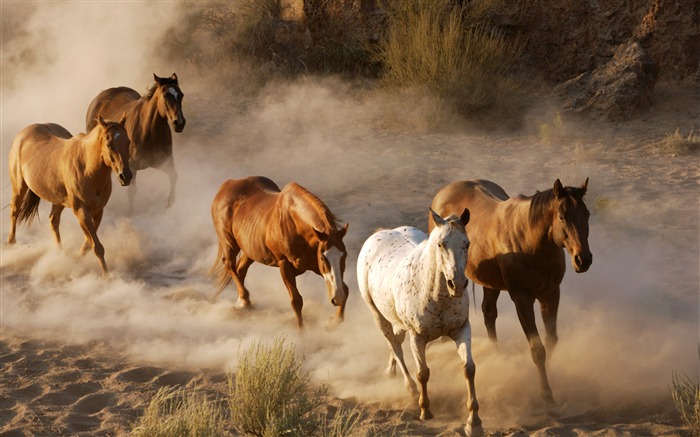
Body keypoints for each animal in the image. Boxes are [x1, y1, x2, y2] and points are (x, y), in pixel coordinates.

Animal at [7, 116, 133, 276]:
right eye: (109, 144)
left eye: (128, 142)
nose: (126, 176)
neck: (87, 168)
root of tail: (23, 134)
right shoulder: (81, 210)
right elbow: (97, 246)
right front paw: (106, 276)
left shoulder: (98, 210)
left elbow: (89, 244)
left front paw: (77, 257)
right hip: (19, 188)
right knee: (14, 212)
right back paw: (11, 244)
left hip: (58, 200)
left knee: (53, 220)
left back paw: (59, 253)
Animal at [85, 72, 186, 211]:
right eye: (165, 95)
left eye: (181, 95)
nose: (179, 123)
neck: (149, 131)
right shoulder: (131, 167)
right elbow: (131, 191)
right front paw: (130, 212)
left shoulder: (164, 162)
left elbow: (174, 176)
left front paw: (170, 204)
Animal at [208, 175, 350, 326]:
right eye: (323, 258)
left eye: (344, 256)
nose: (337, 297)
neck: (295, 224)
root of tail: (226, 185)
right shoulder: (285, 265)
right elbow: (296, 301)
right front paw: (301, 331)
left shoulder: (315, 266)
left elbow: (345, 289)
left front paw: (334, 322)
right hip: (229, 243)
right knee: (229, 264)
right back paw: (244, 300)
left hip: (250, 250)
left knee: (240, 269)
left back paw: (242, 302)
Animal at [358, 209, 484, 436]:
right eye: (441, 244)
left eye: (467, 243)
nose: (457, 284)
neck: (435, 294)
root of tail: (379, 234)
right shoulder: (417, 338)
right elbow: (423, 373)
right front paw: (425, 410)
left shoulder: (461, 329)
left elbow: (468, 369)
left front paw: (474, 422)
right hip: (378, 316)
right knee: (396, 347)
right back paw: (410, 389)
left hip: (396, 321)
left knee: (396, 343)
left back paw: (390, 371)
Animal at [430, 178, 592, 406]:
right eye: (562, 216)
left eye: (587, 215)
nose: (583, 259)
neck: (531, 242)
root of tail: (443, 193)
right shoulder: (522, 300)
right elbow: (537, 349)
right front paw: (546, 394)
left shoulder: (551, 295)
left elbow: (551, 340)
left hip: (490, 284)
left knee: (489, 313)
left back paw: (496, 355)